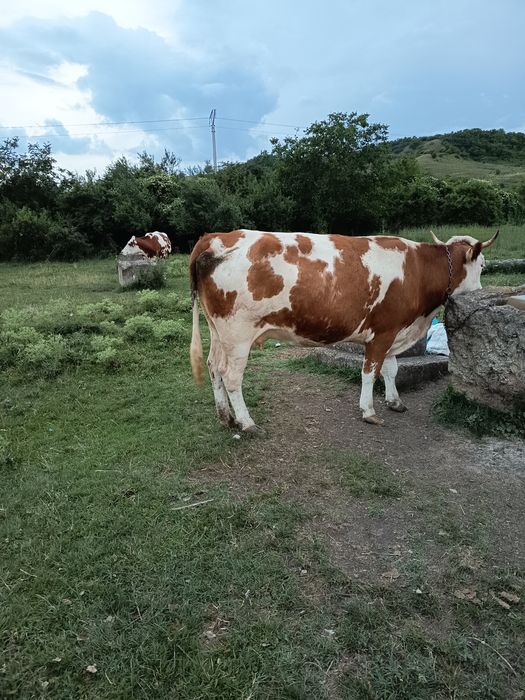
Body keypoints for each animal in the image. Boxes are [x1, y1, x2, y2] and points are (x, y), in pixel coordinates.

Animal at [189, 229, 498, 432]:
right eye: (482, 266)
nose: (481, 292)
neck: (418, 270)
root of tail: (214, 237)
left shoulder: (393, 330)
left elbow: (391, 369)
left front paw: (395, 401)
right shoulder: (383, 331)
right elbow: (370, 373)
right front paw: (369, 411)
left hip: (218, 331)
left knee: (214, 367)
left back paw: (225, 418)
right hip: (238, 334)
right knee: (231, 376)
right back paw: (246, 422)